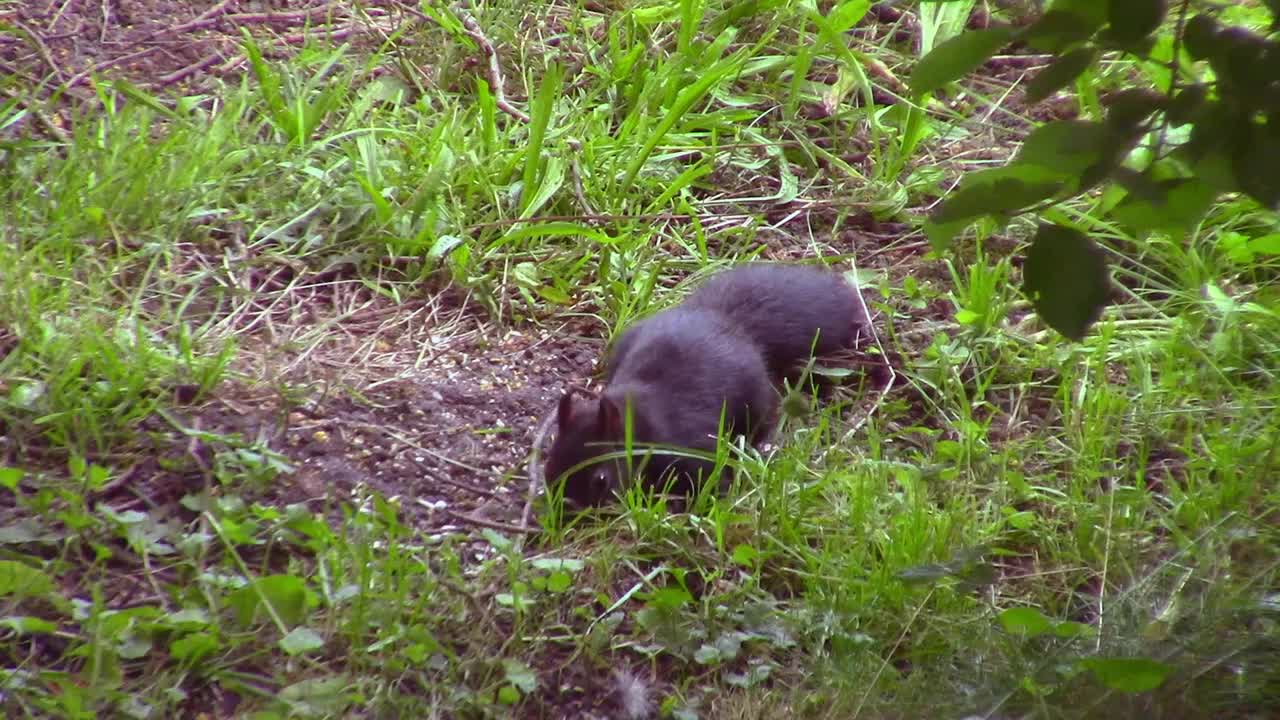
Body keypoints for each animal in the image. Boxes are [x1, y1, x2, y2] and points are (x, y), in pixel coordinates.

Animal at [545, 262, 865, 504]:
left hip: (755, 401)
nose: (569, 508)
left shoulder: (687, 447)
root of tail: (726, 321)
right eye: (549, 464)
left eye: (600, 479)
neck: (639, 426)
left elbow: (708, 475)